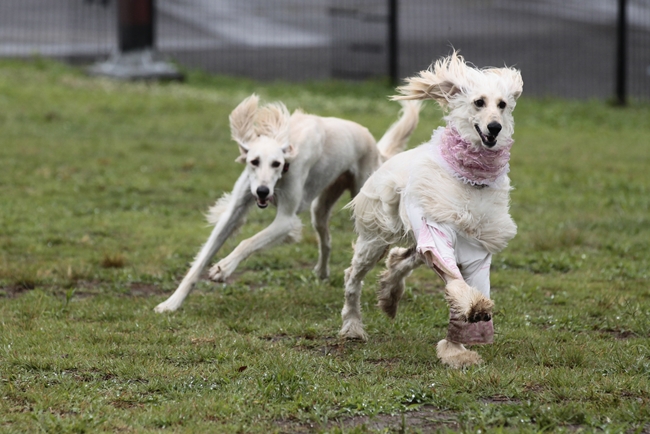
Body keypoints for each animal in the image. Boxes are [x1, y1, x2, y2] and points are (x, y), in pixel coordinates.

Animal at [154, 94, 418, 312]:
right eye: (254, 161)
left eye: (276, 164)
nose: (262, 191)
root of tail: (374, 145)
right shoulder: (234, 212)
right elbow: (200, 261)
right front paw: (171, 303)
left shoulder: (285, 221)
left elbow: (247, 242)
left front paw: (224, 268)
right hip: (320, 208)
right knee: (326, 239)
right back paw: (322, 272)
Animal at [336, 51, 520, 370]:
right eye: (479, 102)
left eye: (502, 104)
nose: (494, 128)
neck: (469, 179)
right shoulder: (437, 233)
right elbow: (457, 284)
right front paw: (470, 319)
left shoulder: (475, 250)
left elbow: (468, 286)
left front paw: (457, 348)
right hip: (376, 236)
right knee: (353, 276)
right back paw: (353, 326)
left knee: (403, 258)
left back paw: (389, 295)